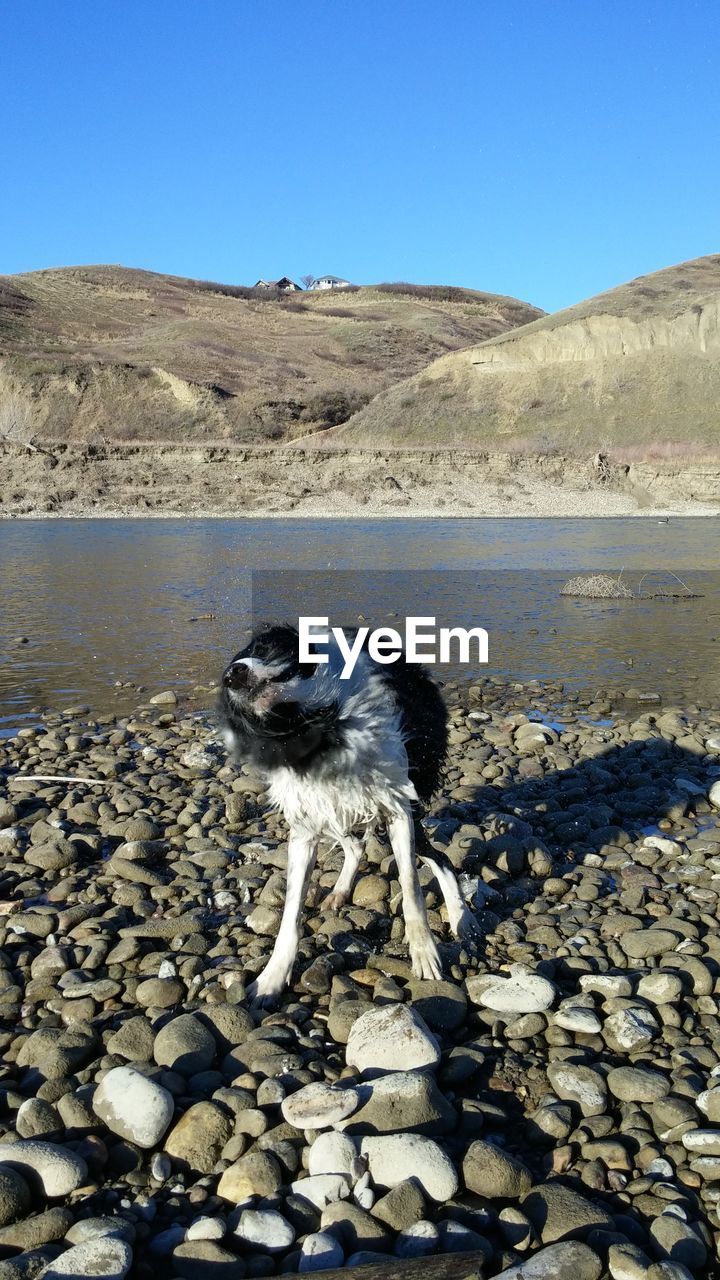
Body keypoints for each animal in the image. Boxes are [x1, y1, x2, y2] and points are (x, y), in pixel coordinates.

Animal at [219, 624, 476, 1003]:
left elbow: (411, 887)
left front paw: (424, 953)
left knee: (439, 859)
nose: (232, 674)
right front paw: (271, 979)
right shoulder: (305, 825)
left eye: (266, 648)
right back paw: (340, 891)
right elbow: (290, 913)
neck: (318, 723)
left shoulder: (397, 807)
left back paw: (462, 917)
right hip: (334, 806)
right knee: (354, 846)